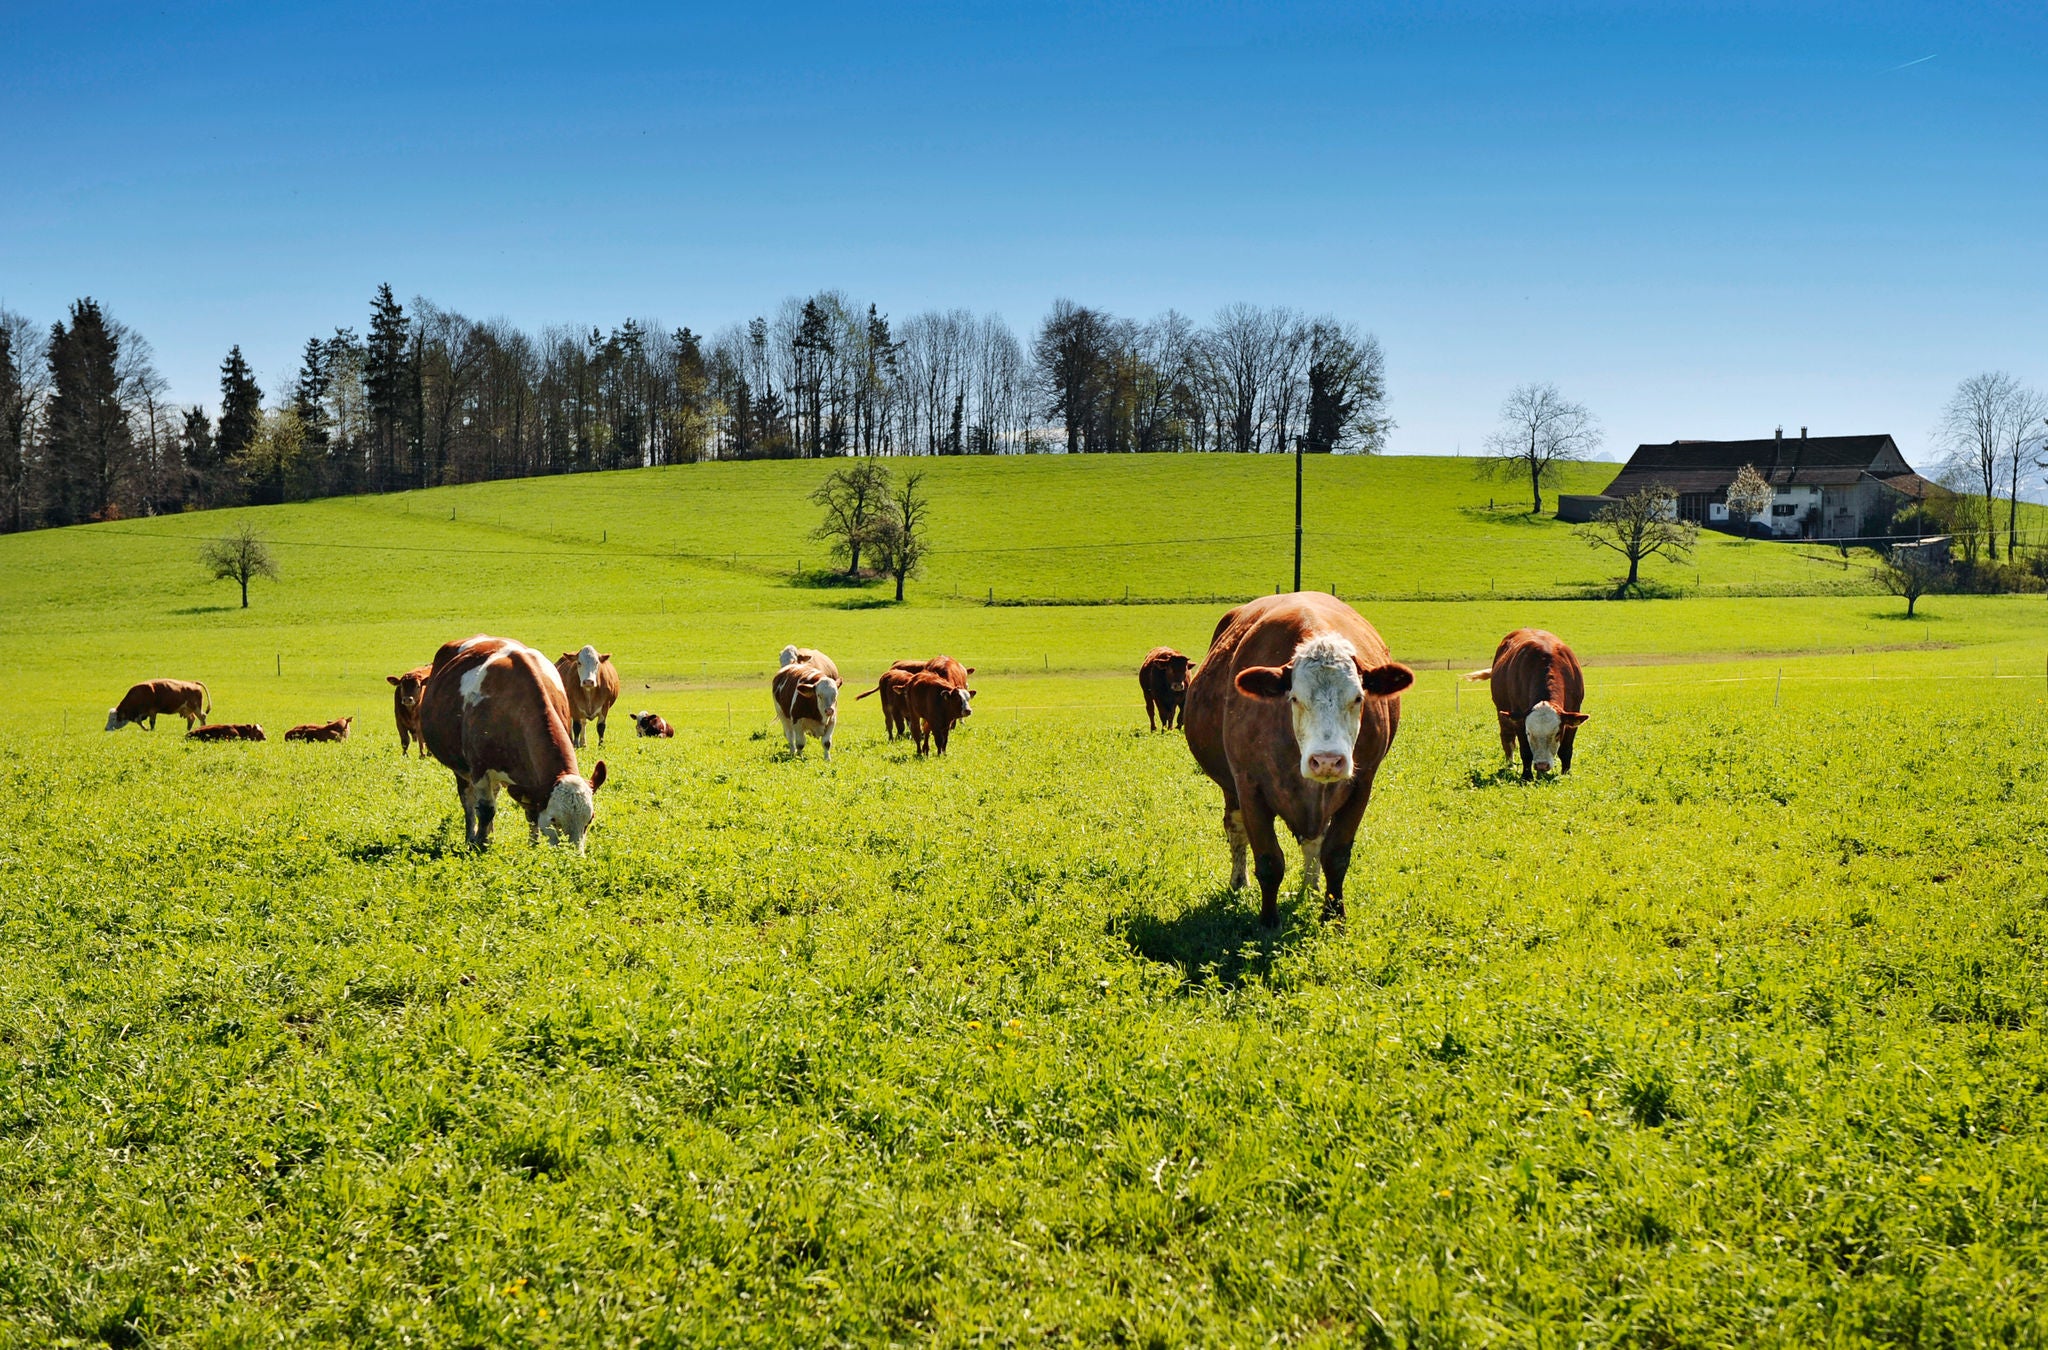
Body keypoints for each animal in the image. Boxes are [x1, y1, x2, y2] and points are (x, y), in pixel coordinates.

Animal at [417, 635, 602, 852]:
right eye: (554, 820)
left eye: (589, 820)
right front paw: (481, 845)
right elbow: (485, 810)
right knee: (469, 802)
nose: (574, 857)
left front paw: (533, 846)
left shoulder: (532, 785)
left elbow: (531, 814)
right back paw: (472, 836)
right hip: (461, 769)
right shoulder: (479, 769)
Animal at [1179, 594, 1417, 930]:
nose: (1327, 761)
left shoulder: (1361, 785)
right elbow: (1268, 860)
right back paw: (1239, 882)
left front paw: (1333, 915)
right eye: (1294, 698)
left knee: (1314, 842)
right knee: (1235, 827)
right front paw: (1268, 921)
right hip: (1230, 788)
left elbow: (1335, 855)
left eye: (1358, 698)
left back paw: (1311, 886)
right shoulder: (1249, 787)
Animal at [1466, 626, 1589, 774]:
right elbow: (1525, 751)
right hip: (1502, 712)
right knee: (1507, 739)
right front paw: (1526, 776)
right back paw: (1511, 766)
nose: (1542, 765)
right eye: (1528, 733)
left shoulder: (1574, 710)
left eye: (1557, 733)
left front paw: (1566, 774)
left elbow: (1566, 750)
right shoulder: (1519, 717)